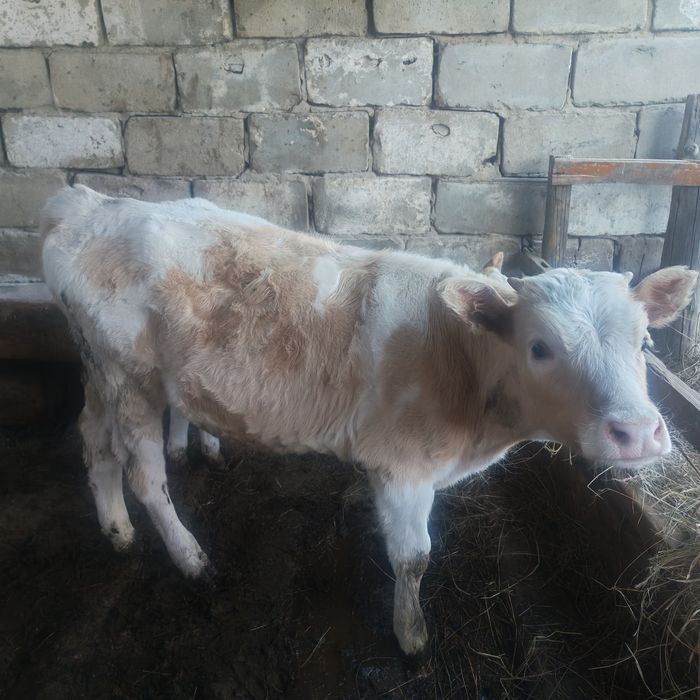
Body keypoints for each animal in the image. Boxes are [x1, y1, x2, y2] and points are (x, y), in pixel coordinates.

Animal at [41, 185, 697, 658]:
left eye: (645, 342)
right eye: (539, 347)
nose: (637, 433)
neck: (458, 362)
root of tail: (90, 203)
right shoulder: (402, 467)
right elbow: (414, 559)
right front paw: (412, 638)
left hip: (100, 373)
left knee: (95, 443)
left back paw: (116, 530)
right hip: (130, 377)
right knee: (144, 476)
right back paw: (191, 560)